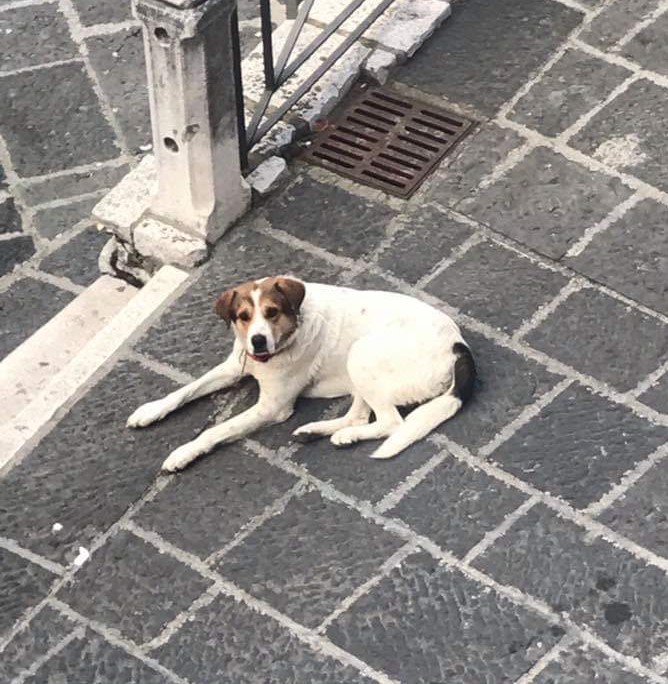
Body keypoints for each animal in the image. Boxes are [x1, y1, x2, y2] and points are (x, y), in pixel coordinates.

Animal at [128, 276, 474, 472]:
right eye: (243, 316)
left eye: (272, 312)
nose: (257, 340)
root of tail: (458, 346)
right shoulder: (235, 366)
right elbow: (184, 391)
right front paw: (150, 411)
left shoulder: (273, 407)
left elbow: (215, 431)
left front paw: (184, 454)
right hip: (359, 365)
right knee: (360, 416)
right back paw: (320, 431)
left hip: (362, 353)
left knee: (391, 423)